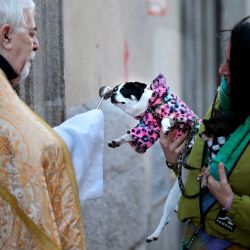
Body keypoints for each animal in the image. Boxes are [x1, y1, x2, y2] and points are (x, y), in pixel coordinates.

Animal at [108, 73, 201, 241]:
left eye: (125, 91)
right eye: (114, 89)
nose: (112, 93)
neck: (150, 107)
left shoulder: (184, 118)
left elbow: (166, 118)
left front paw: (166, 125)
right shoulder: (148, 128)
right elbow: (130, 135)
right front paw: (117, 141)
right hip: (173, 196)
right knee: (166, 216)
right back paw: (154, 234)